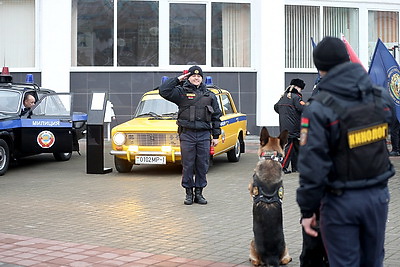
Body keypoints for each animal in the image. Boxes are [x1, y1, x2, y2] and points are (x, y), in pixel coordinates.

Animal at [248, 127, 292, 267]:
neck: (270, 158)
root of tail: (271, 256)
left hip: (251, 243)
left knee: (255, 262)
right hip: (285, 247)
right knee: (285, 259)